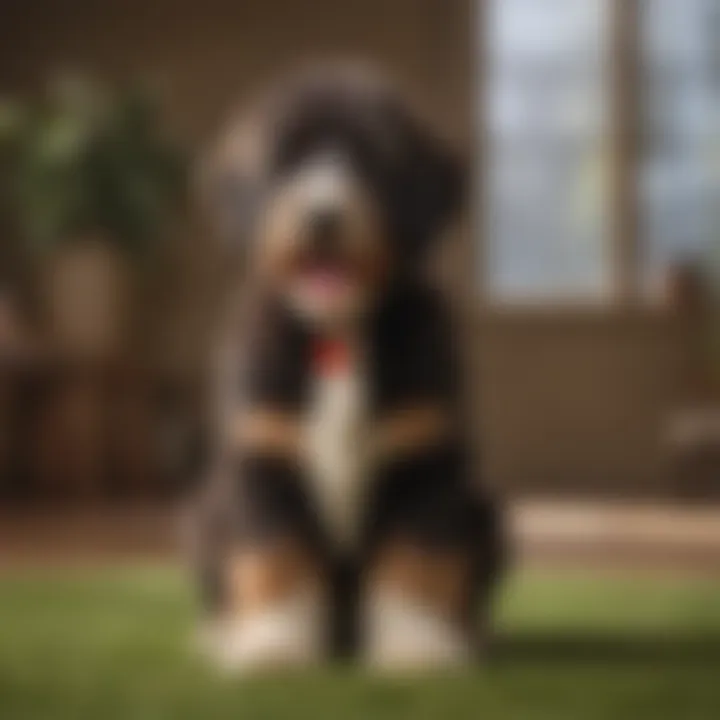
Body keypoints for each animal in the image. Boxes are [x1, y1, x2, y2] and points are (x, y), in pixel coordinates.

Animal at [191, 64, 506, 672]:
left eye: (371, 157)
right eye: (287, 158)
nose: (322, 215)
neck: (338, 334)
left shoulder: (425, 463)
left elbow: (417, 560)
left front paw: (417, 648)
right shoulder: (266, 454)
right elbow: (274, 557)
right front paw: (273, 646)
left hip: (483, 510)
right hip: (205, 512)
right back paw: (227, 633)